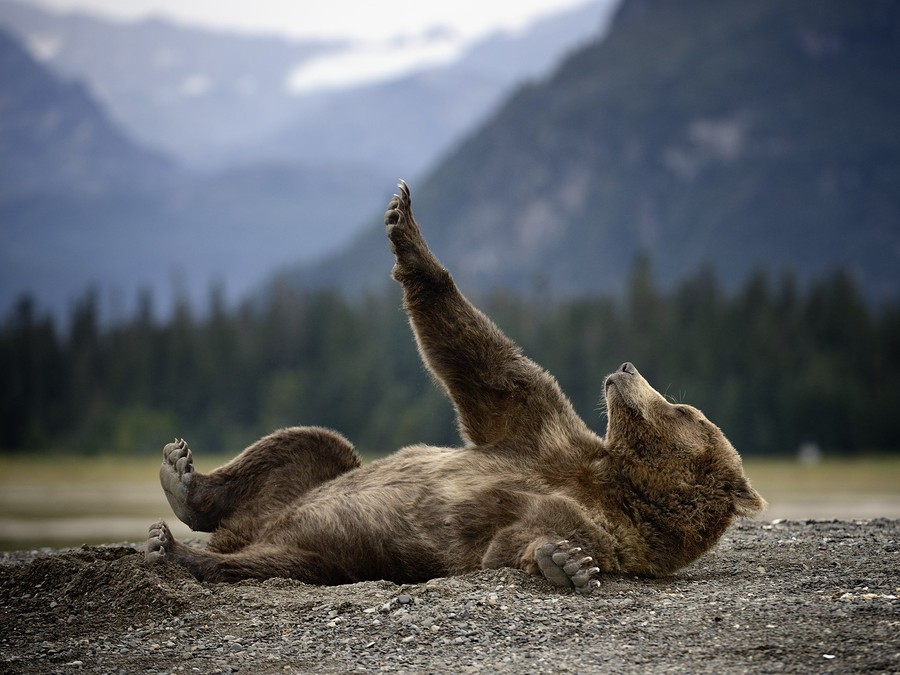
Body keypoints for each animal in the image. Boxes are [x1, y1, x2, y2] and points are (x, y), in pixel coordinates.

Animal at [148, 181, 768, 596]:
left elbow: (523, 538)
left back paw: (176, 550)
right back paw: (184, 480)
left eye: (685, 410)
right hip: (305, 487)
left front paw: (565, 562)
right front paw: (403, 222)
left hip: (330, 554)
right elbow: (485, 364)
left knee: (273, 563)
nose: (627, 366)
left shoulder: (606, 528)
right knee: (314, 444)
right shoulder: (540, 431)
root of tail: (248, 532)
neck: (616, 481)